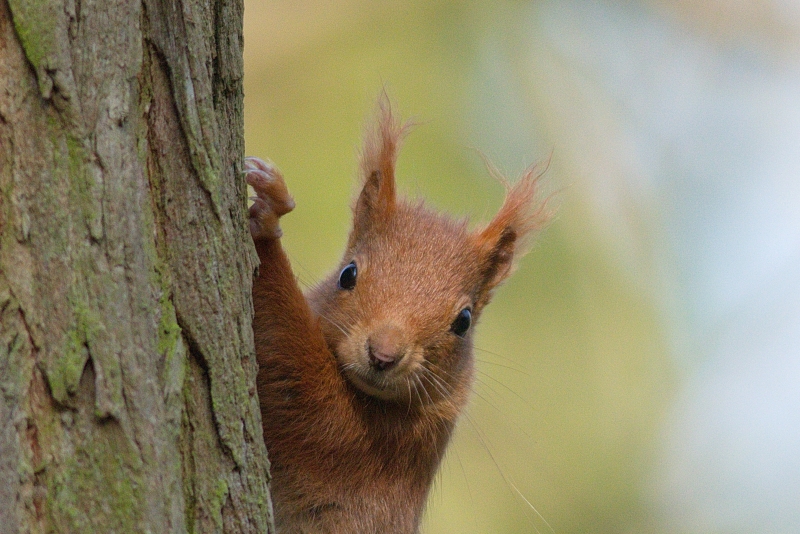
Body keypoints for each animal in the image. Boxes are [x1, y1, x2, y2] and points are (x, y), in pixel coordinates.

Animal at [247, 98, 552, 532]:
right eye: (348, 274)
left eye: (463, 321)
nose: (384, 354)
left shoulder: (363, 442)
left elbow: (289, 370)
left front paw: (269, 217)